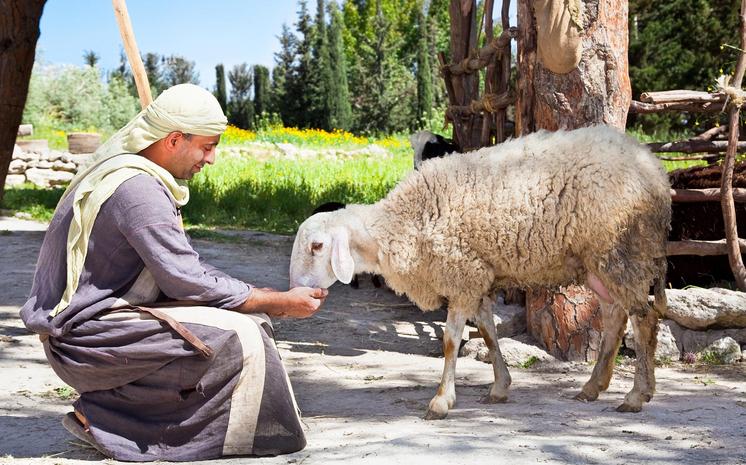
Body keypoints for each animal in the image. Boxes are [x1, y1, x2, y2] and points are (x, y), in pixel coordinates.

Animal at [290, 125, 671, 419]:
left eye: (317, 246)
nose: (297, 290)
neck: (401, 224)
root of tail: (654, 168)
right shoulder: (477, 277)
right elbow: (488, 333)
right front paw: (500, 387)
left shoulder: (461, 276)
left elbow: (450, 341)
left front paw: (441, 401)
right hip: (598, 263)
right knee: (614, 318)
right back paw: (593, 387)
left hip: (622, 250)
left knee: (644, 319)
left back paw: (636, 395)